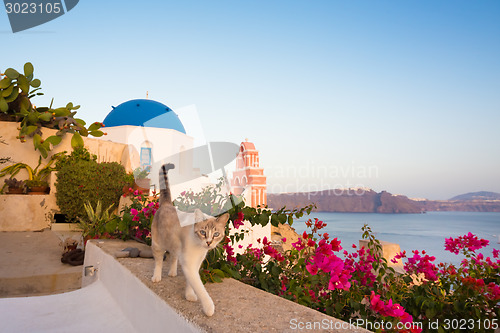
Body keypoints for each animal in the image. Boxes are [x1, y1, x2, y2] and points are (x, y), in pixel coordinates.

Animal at [150, 163, 229, 316]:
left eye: (216, 234)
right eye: (203, 232)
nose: (209, 242)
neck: (200, 249)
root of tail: (167, 204)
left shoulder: (196, 263)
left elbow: (190, 283)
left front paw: (189, 295)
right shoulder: (189, 264)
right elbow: (199, 287)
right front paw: (209, 309)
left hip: (174, 245)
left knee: (173, 256)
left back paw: (172, 273)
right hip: (157, 244)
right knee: (158, 261)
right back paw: (157, 277)